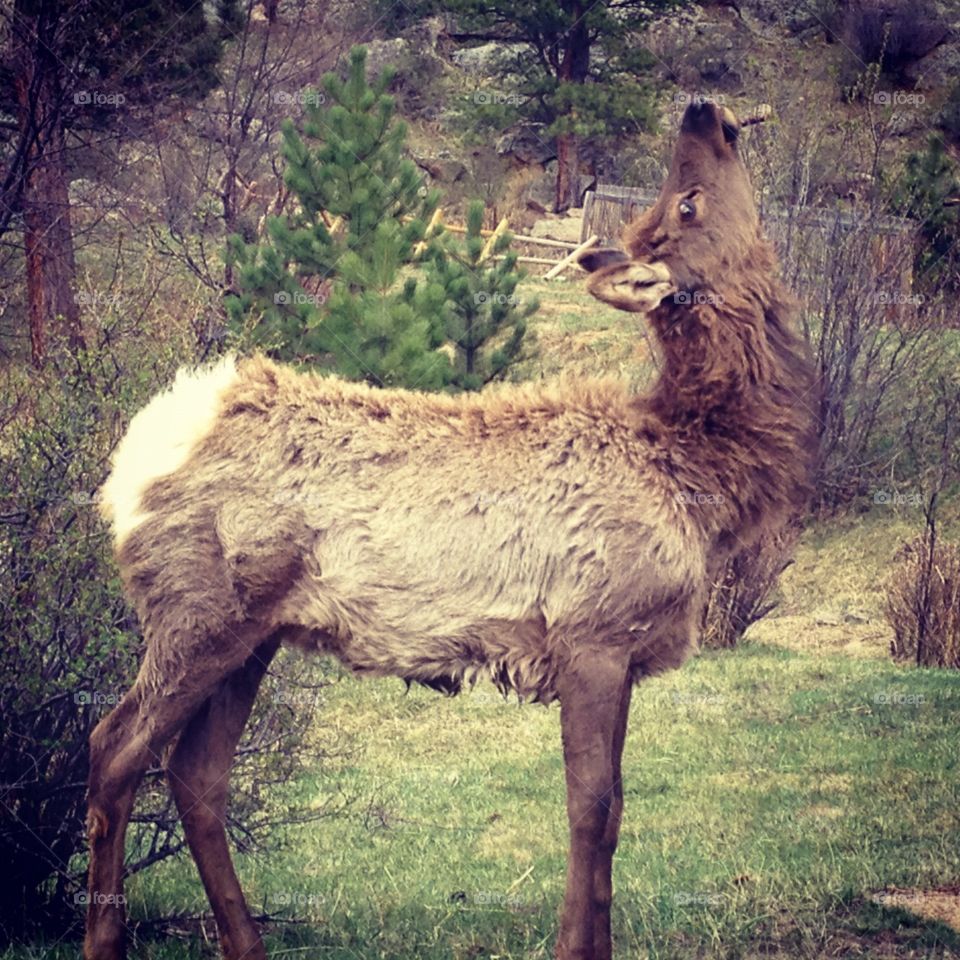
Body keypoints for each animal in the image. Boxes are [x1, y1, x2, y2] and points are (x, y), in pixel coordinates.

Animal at [84, 99, 818, 960]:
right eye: (687, 202)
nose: (701, 111)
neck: (700, 476)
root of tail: (135, 458)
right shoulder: (592, 637)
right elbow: (591, 808)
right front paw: (571, 945)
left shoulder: (626, 653)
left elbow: (616, 809)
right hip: (197, 615)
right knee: (114, 750)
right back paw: (107, 941)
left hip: (252, 634)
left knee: (197, 776)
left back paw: (247, 944)